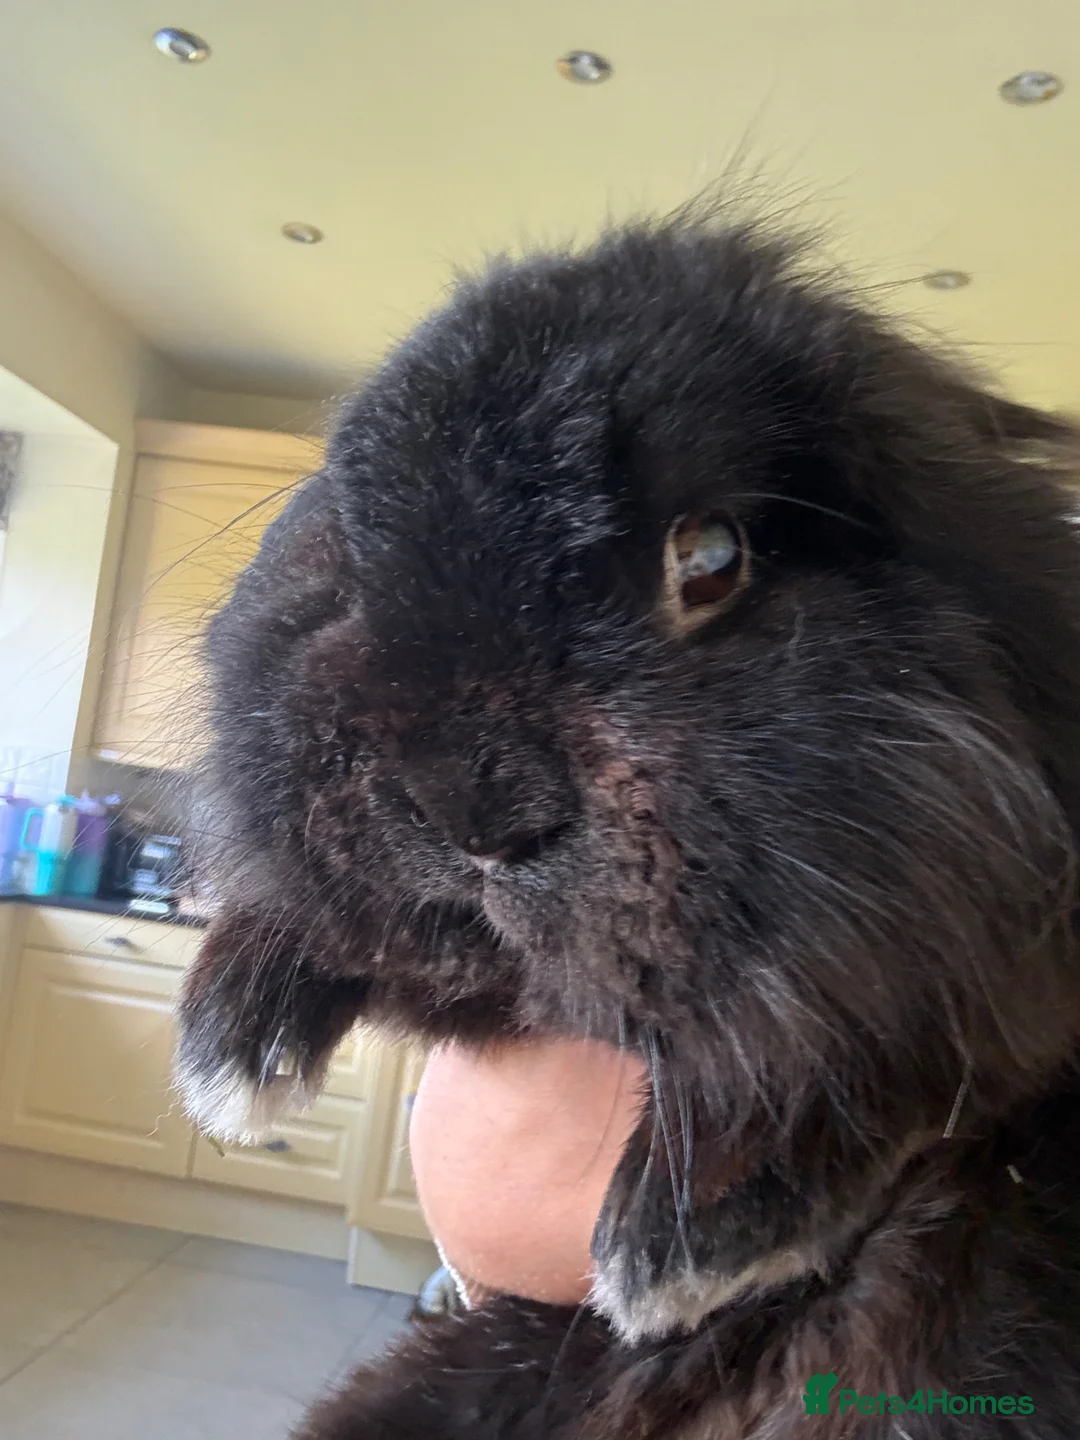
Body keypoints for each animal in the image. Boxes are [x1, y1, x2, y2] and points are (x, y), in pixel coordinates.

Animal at [176, 210, 1080, 1438]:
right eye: (351, 550)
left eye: (712, 558)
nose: (469, 802)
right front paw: (231, 1050)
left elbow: (899, 1043)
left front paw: (687, 1238)